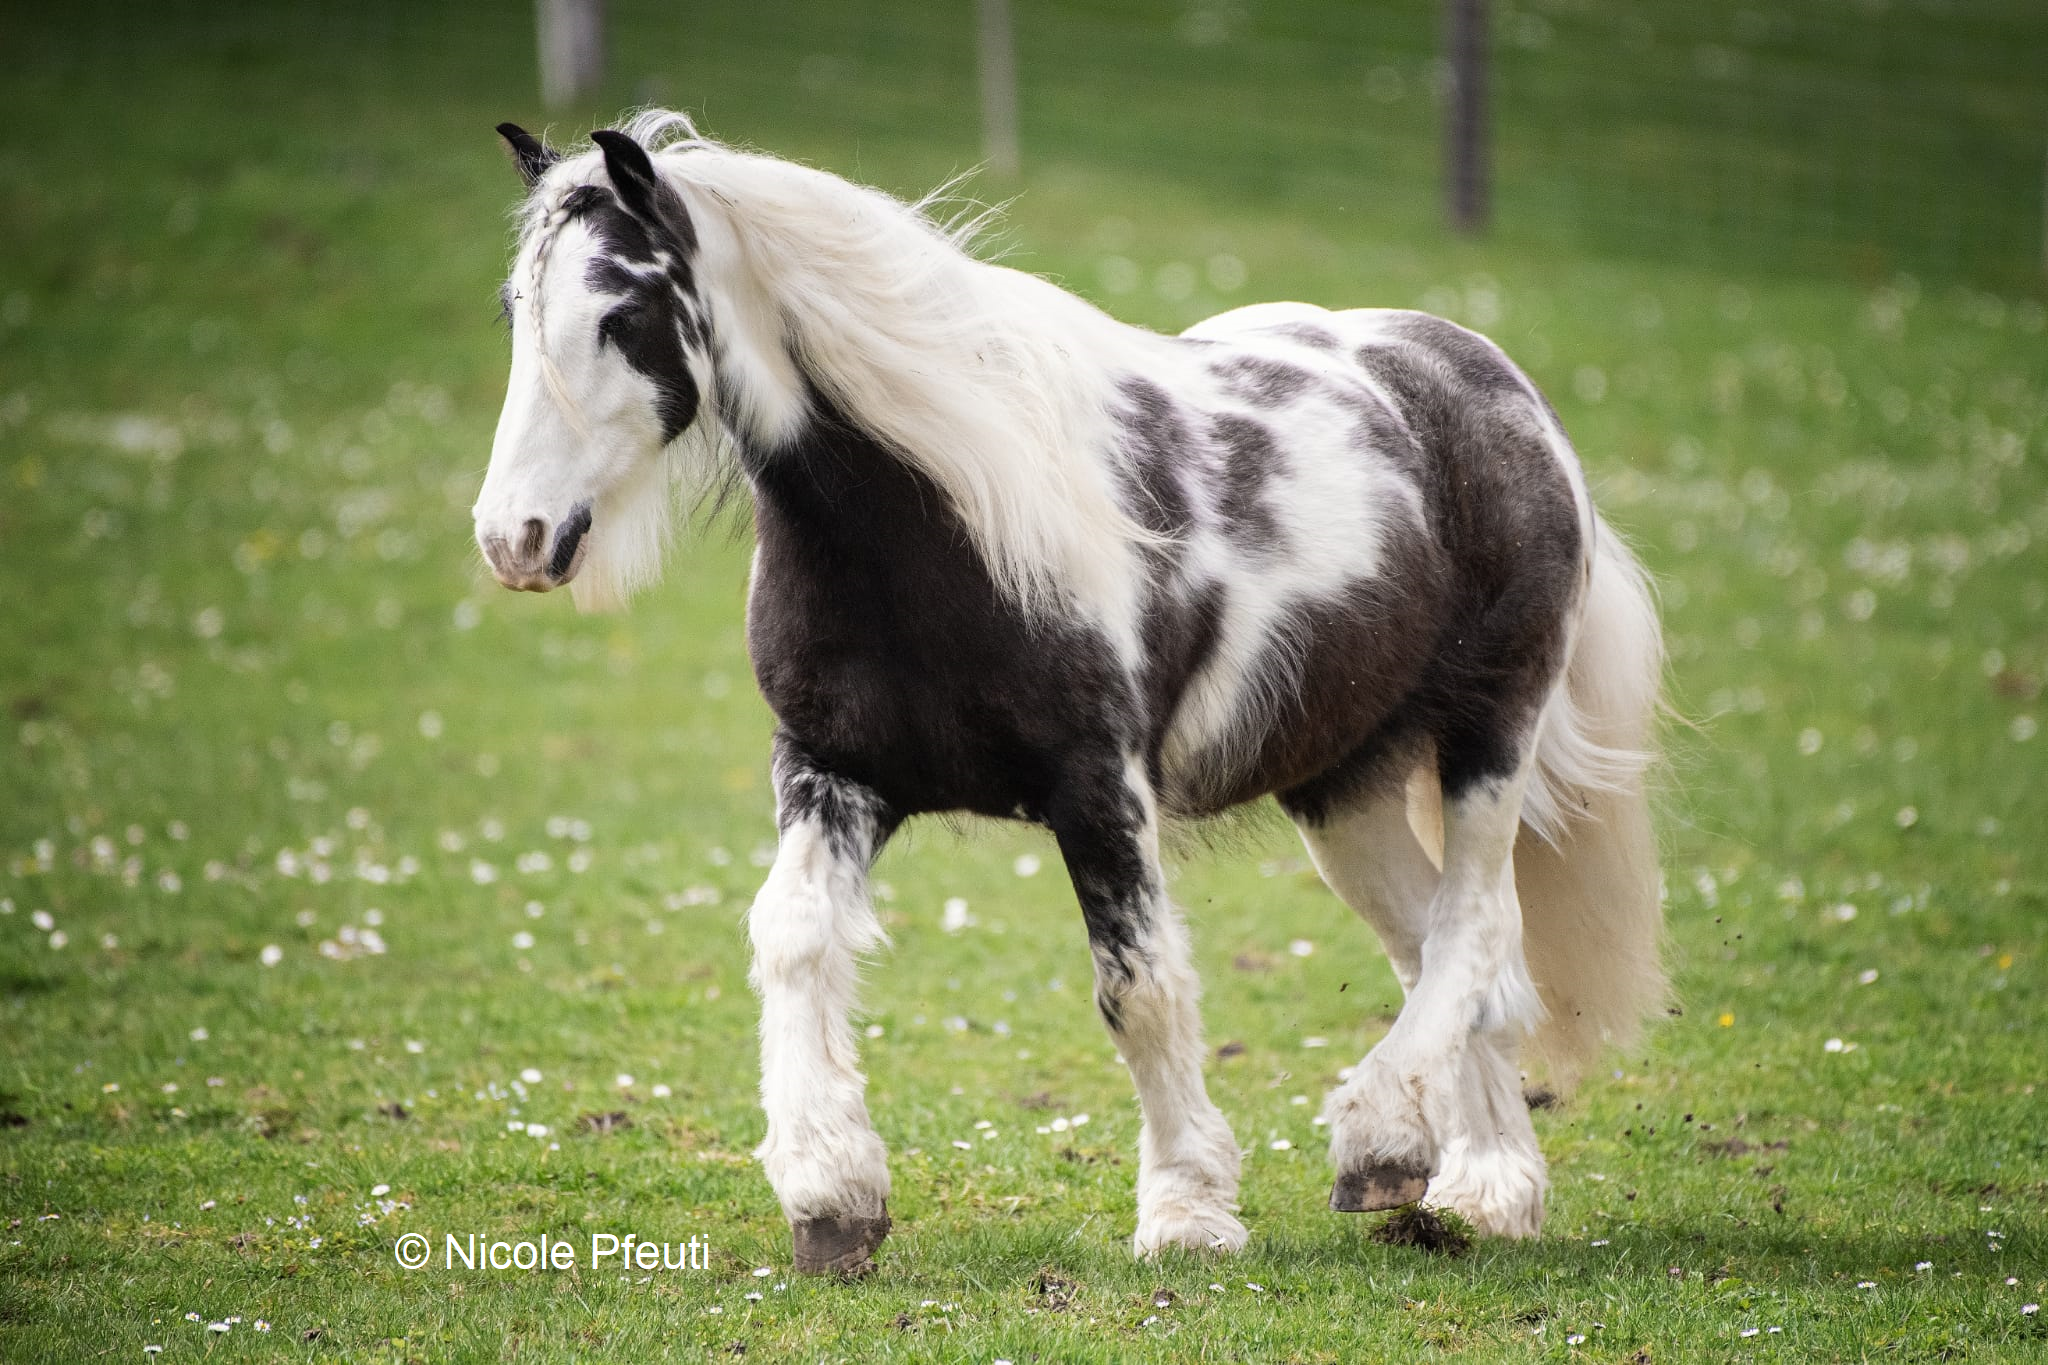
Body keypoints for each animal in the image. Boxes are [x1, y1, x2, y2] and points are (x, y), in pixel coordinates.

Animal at [472, 111, 1666, 1275]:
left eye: (620, 311)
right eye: (517, 310)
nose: (512, 538)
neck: (935, 521)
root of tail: (1491, 379)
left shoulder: (1098, 786)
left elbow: (1138, 987)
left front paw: (1186, 1212)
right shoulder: (832, 771)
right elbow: (793, 938)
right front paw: (831, 1197)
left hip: (1489, 732)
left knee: (1474, 927)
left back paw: (1388, 1140)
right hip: (1342, 788)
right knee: (1441, 954)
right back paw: (1474, 1182)